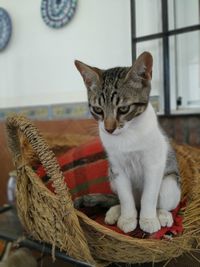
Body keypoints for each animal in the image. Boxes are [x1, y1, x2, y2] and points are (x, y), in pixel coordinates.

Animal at [75, 51, 181, 234]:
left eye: (123, 109)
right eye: (98, 110)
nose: (109, 129)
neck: (128, 134)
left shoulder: (154, 164)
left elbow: (149, 196)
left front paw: (148, 220)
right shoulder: (117, 168)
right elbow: (125, 197)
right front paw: (127, 218)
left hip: (170, 185)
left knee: (160, 201)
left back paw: (162, 215)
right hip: (111, 176)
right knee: (124, 199)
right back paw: (115, 211)